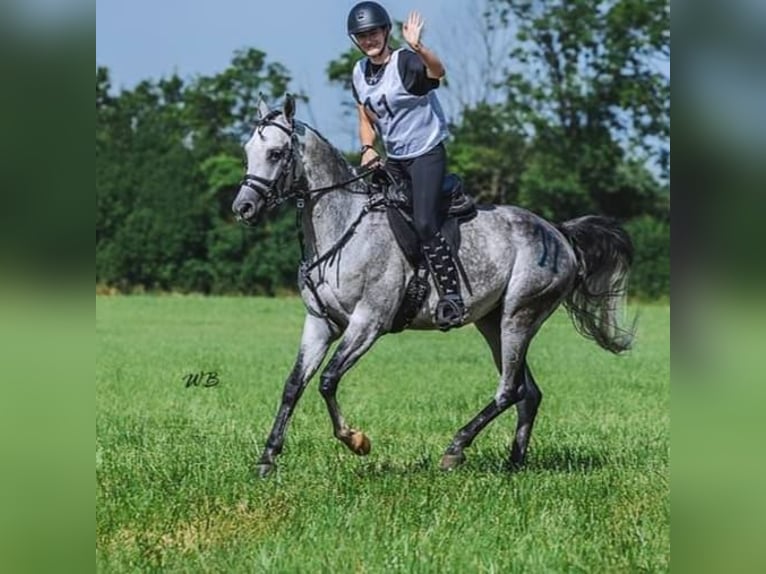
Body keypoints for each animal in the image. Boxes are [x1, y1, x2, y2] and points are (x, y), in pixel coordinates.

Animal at [232, 94, 636, 480]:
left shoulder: (368, 323)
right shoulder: (320, 323)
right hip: (492, 323)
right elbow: (294, 384)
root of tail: (559, 233)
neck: (344, 228)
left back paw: (456, 449)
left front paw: (356, 440)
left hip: (518, 316)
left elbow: (328, 380)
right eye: (248, 151)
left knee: (509, 389)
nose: (243, 208)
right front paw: (267, 459)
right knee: (528, 392)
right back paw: (514, 463)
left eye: (276, 153)